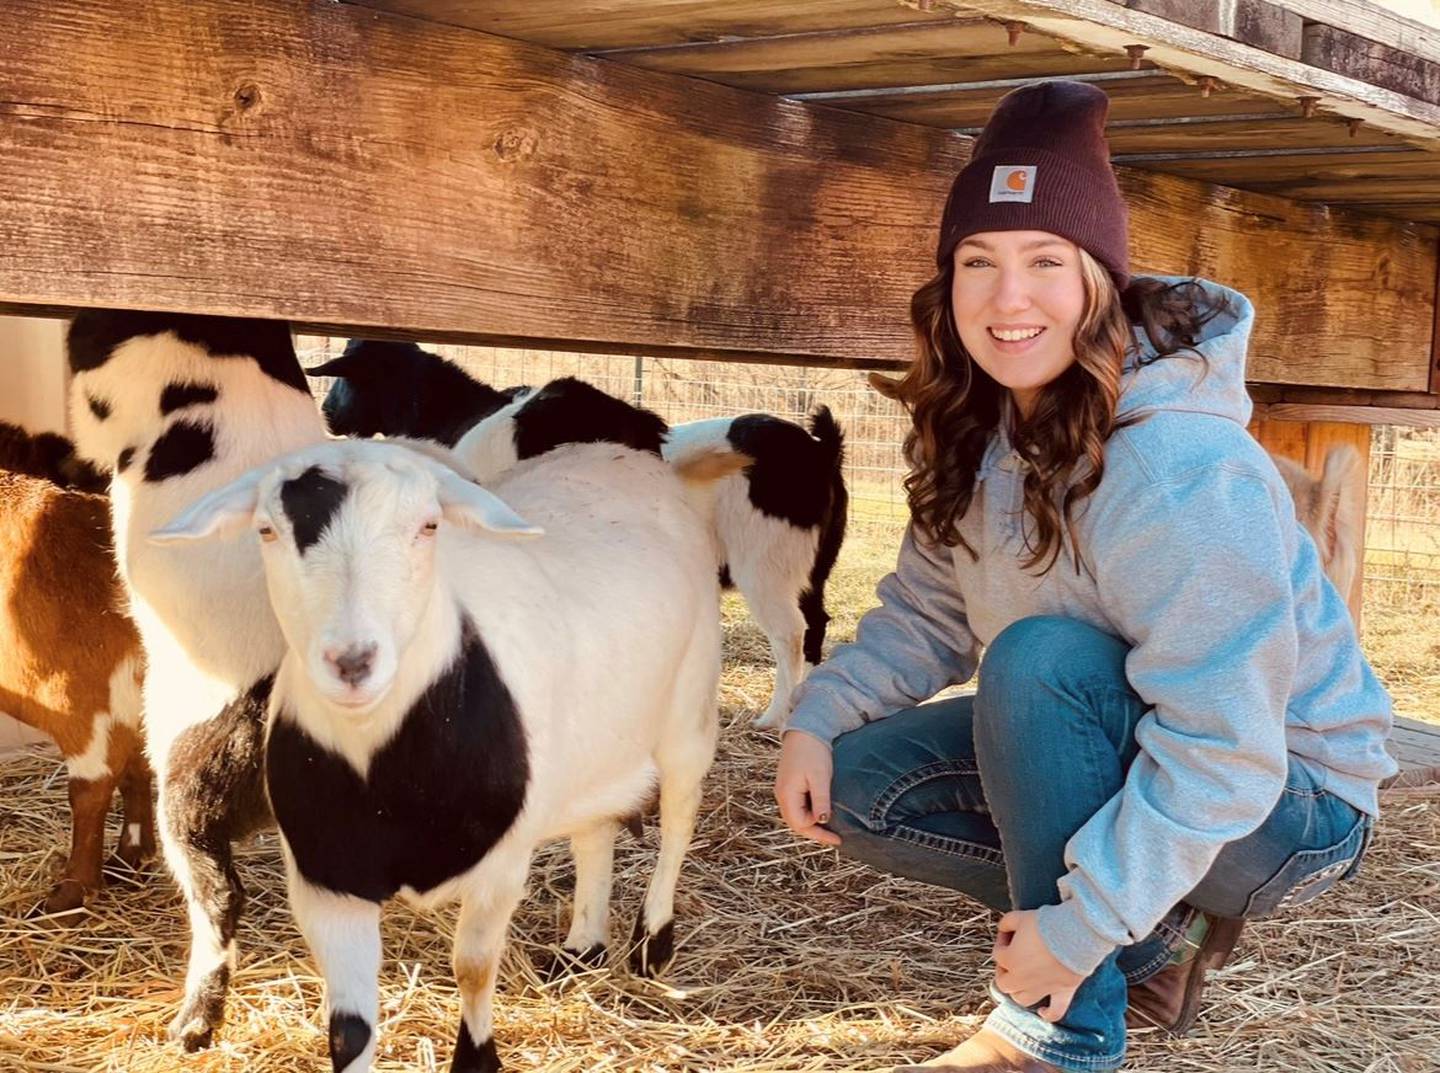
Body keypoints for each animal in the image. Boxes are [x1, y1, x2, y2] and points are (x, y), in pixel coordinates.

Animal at [157, 437, 731, 1071]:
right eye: (266, 530)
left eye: (429, 526)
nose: (352, 662)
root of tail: (622, 455)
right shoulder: (325, 883)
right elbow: (349, 1029)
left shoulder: (500, 869)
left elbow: (473, 968)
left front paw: (478, 1057)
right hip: (594, 746)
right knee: (594, 832)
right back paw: (583, 947)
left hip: (689, 718)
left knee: (678, 821)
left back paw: (653, 942)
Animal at [315, 342, 846, 728]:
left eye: (345, 375)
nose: (327, 414)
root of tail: (820, 451)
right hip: (812, 566)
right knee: (817, 623)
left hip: (766, 563)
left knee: (790, 633)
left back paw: (773, 717)